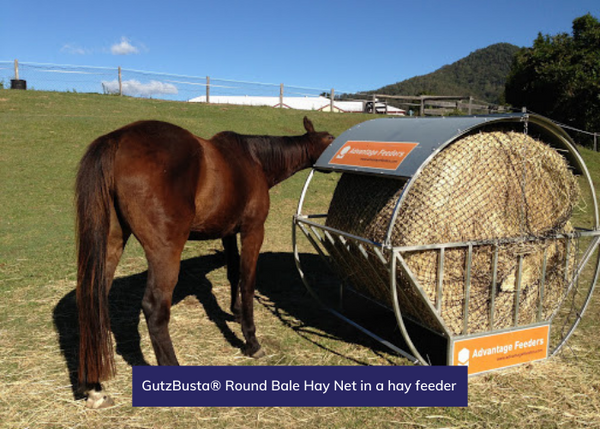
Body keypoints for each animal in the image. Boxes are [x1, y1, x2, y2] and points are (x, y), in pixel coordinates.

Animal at [75, 116, 332, 404]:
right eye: (331, 139)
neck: (253, 159)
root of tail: (118, 139)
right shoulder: (253, 230)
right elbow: (248, 280)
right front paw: (252, 341)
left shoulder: (228, 232)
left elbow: (234, 272)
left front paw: (236, 311)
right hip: (165, 252)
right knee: (155, 308)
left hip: (111, 244)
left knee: (93, 300)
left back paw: (93, 385)